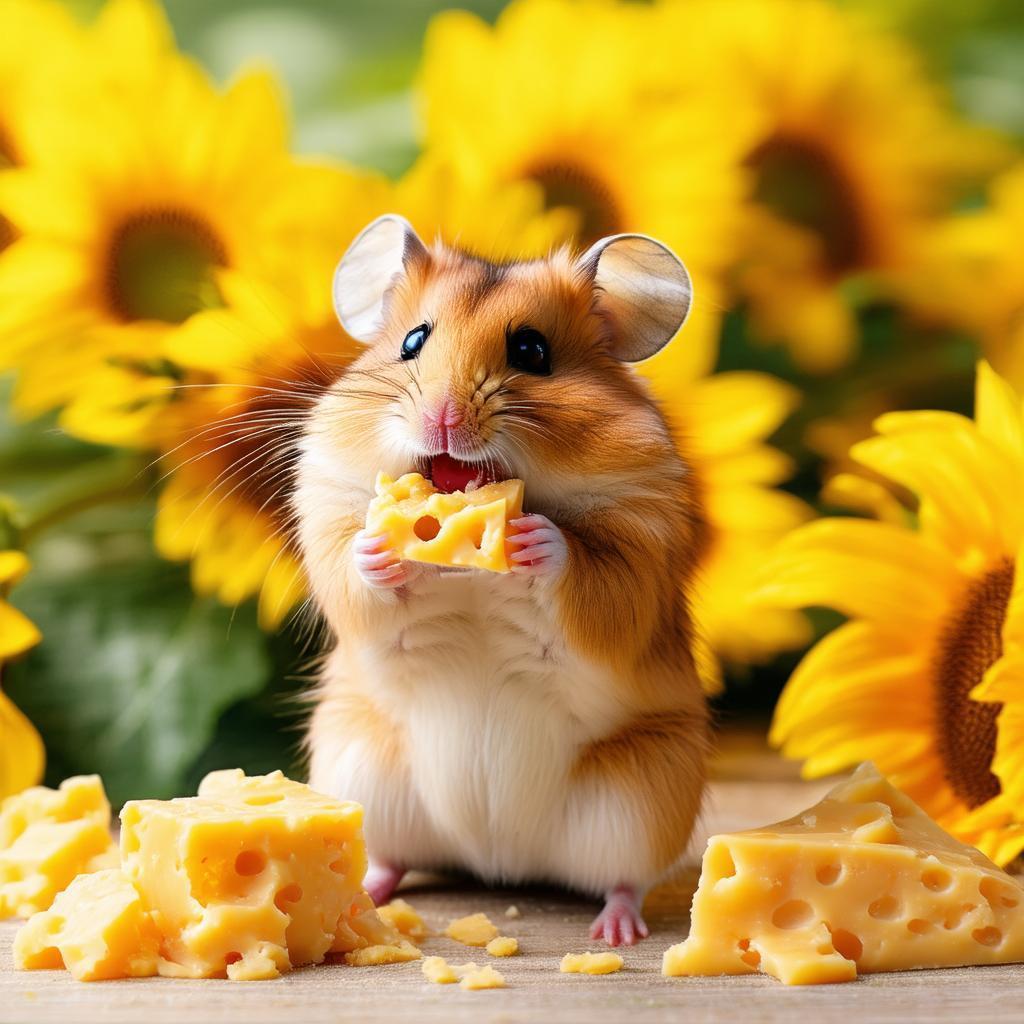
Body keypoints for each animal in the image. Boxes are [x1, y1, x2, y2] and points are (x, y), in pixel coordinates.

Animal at [296, 215, 709, 946]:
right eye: (411, 343)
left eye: (532, 350)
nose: (441, 419)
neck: (471, 578)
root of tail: (497, 859)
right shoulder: (327, 503)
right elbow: (351, 569)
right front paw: (380, 548)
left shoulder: (643, 550)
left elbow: (594, 576)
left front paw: (533, 541)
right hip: (361, 772)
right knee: (393, 857)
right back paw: (369, 895)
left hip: (640, 797)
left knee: (624, 880)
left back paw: (615, 931)